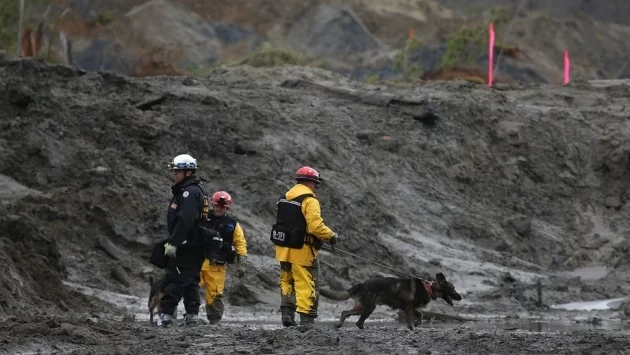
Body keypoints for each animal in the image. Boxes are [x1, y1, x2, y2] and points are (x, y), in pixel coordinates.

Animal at [324, 274, 462, 332]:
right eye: (453, 288)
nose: (460, 297)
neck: (430, 287)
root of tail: (362, 284)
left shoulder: (410, 307)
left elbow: (421, 315)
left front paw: (417, 324)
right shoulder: (408, 307)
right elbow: (410, 319)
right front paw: (412, 328)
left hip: (367, 308)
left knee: (355, 319)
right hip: (367, 307)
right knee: (347, 313)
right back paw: (340, 325)